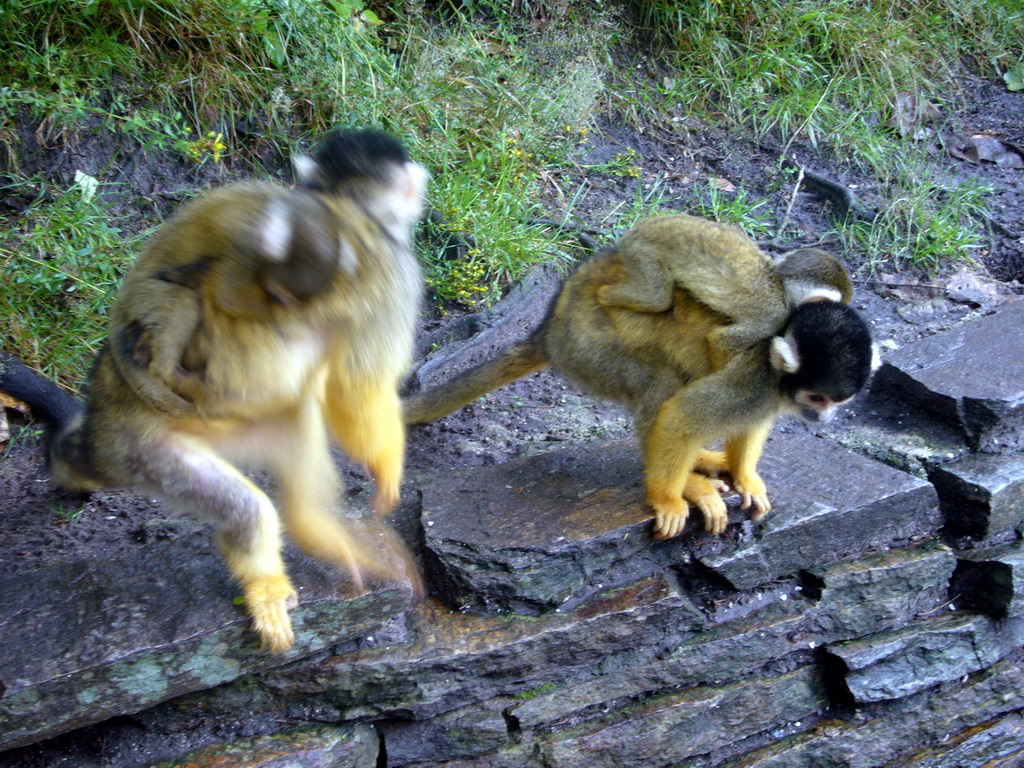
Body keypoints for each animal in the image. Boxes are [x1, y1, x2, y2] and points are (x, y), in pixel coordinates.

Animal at [1, 131, 428, 655]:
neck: (344, 203)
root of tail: (104, 417)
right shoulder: (394, 274)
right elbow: (359, 386)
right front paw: (387, 470)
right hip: (144, 449)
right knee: (242, 506)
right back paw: (265, 577)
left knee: (294, 417)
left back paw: (312, 529)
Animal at [403, 211, 876, 540]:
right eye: (818, 398)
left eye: (839, 401)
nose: (824, 418)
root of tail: (552, 328)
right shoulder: (757, 370)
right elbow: (688, 407)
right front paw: (667, 496)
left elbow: (748, 425)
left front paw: (744, 476)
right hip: (594, 347)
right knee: (661, 381)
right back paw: (686, 484)